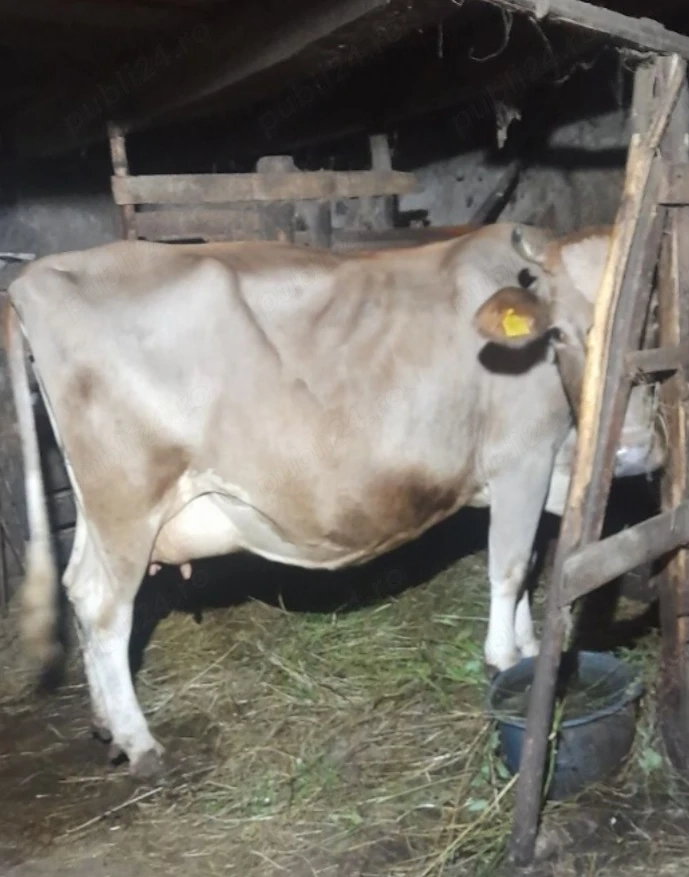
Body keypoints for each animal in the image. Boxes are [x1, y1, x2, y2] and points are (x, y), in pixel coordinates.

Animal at [4, 221, 665, 779]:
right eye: (560, 333)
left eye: (655, 322)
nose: (631, 451)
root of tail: (37, 274)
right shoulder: (521, 456)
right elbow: (508, 566)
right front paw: (504, 660)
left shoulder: (540, 471)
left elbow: (525, 560)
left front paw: (527, 648)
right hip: (128, 497)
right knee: (104, 608)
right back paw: (140, 743)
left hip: (97, 507)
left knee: (76, 587)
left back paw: (104, 724)